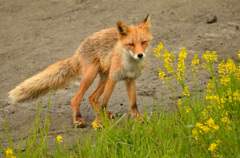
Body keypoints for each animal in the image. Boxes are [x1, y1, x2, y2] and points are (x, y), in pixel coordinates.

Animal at [9, 13, 153, 127]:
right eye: (131, 44)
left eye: (144, 42)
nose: (140, 55)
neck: (130, 64)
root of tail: (80, 46)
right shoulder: (113, 79)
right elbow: (104, 102)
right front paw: (99, 122)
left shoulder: (130, 79)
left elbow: (133, 103)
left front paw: (138, 118)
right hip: (92, 75)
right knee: (77, 99)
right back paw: (79, 119)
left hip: (103, 77)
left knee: (92, 97)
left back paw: (103, 114)